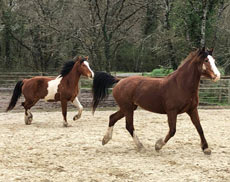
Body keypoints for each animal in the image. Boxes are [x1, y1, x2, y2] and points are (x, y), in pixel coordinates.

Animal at [92, 48, 221, 155]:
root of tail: (119, 80)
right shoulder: (172, 111)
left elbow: (199, 128)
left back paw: (105, 140)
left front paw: (206, 148)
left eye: (214, 60)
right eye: (206, 60)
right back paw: (141, 147)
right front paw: (158, 146)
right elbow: (172, 131)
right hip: (128, 108)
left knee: (112, 117)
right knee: (129, 126)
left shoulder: (192, 110)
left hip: (128, 108)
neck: (181, 85)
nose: (217, 76)